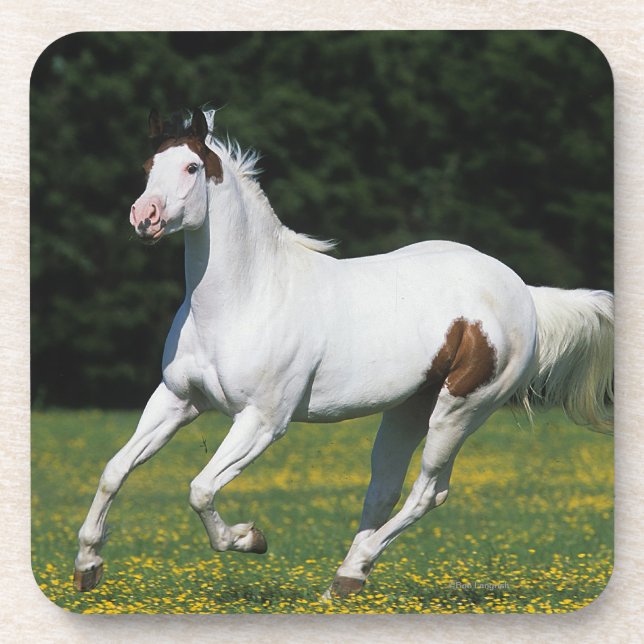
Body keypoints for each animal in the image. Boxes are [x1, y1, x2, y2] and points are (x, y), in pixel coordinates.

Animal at [73, 107, 614, 598]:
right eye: (149, 165)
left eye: (190, 167)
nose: (144, 217)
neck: (245, 299)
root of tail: (522, 292)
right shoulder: (177, 400)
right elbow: (114, 471)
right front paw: (88, 565)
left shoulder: (262, 421)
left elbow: (201, 488)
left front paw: (251, 539)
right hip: (409, 408)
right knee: (384, 489)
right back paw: (345, 579)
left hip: (460, 410)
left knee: (428, 492)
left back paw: (354, 569)